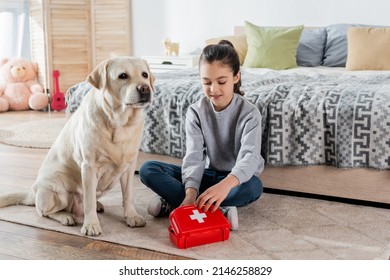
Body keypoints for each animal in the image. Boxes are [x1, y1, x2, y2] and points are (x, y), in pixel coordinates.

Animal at [0, 57, 154, 236]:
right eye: (123, 76)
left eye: (145, 75)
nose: (145, 88)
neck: (120, 123)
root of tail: (33, 192)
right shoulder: (89, 167)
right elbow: (89, 202)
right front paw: (91, 225)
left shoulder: (129, 167)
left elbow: (128, 196)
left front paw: (132, 216)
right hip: (57, 189)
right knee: (44, 212)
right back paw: (66, 217)